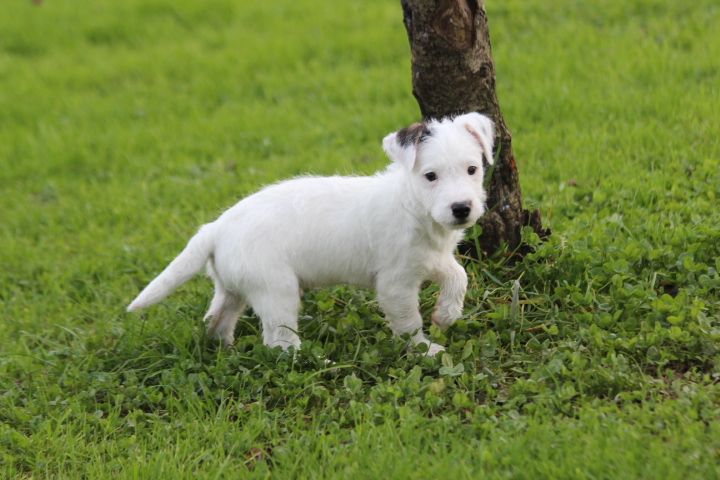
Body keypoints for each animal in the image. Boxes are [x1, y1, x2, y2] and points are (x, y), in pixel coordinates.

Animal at [126, 112, 492, 356]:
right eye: (430, 176)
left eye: (472, 169)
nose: (461, 208)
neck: (413, 206)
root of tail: (216, 227)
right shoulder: (395, 285)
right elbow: (408, 322)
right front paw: (422, 350)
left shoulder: (432, 258)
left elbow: (458, 275)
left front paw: (447, 314)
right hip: (277, 291)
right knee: (278, 342)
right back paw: (309, 361)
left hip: (233, 288)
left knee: (217, 319)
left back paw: (224, 349)